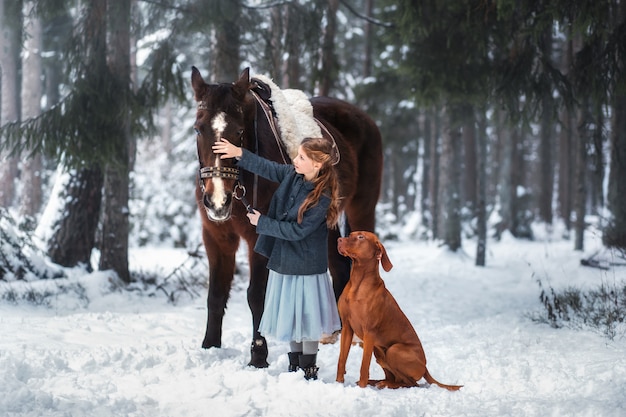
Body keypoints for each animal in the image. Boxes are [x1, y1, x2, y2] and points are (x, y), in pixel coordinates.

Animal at [189, 66, 380, 368]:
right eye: (199, 129)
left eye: (239, 131)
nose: (218, 200)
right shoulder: (216, 237)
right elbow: (215, 294)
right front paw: (210, 346)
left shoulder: (261, 235)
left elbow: (257, 295)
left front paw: (258, 355)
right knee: (339, 267)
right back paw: (333, 333)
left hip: (362, 209)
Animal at [334, 231, 460, 390]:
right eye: (350, 234)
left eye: (361, 237)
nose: (339, 239)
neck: (358, 283)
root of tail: (425, 367)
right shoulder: (346, 328)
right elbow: (341, 359)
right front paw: (338, 384)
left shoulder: (369, 332)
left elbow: (364, 366)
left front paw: (361, 388)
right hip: (379, 351)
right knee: (395, 377)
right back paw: (378, 382)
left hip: (394, 350)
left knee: (411, 383)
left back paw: (384, 384)